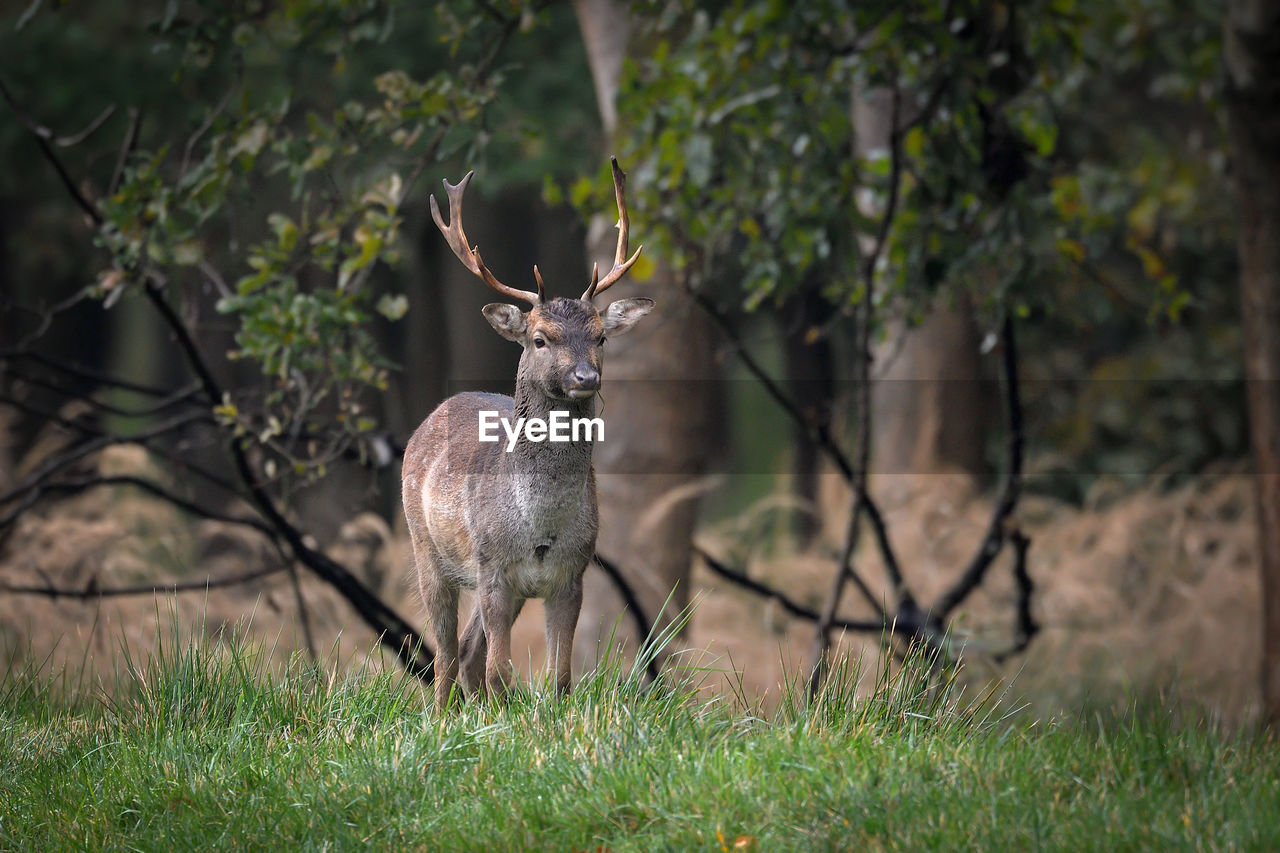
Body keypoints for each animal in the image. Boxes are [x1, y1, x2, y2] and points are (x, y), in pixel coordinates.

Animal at [402, 158, 652, 708]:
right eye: (540, 339)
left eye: (601, 337)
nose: (585, 377)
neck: (539, 528)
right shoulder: (494, 567)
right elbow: (501, 670)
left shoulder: (571, 576)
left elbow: (559, 678)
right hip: (427, 550)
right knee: (446, 655)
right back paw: (441, 715)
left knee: (467, 650)